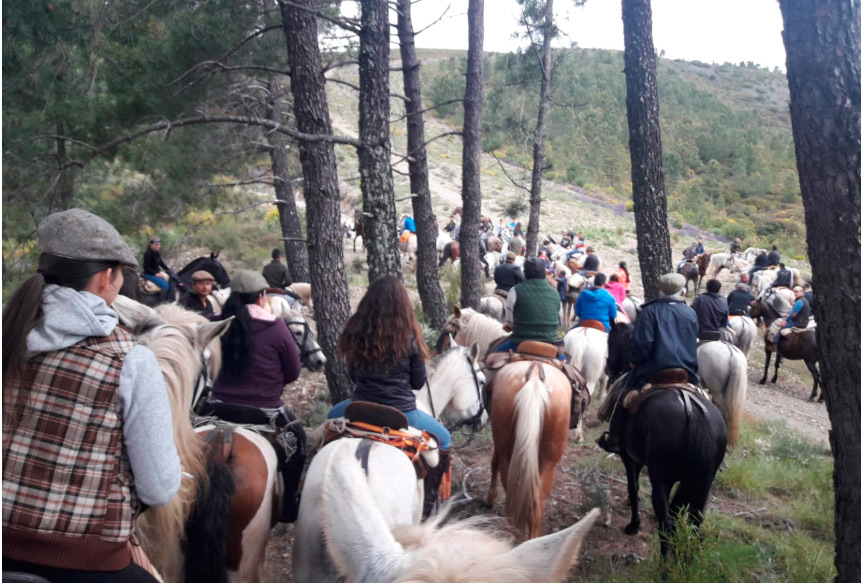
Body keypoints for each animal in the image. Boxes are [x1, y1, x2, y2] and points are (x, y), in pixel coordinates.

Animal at [485, 361, 575, 539]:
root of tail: (534, 376)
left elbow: (494, 462)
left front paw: (490, 498)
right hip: (547, 462)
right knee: (534, 507)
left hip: (509, 454)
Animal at [605, 323, 727, 556]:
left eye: (610, 341)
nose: (608, 369)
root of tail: (691, 412)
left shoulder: (628, 455)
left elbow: (633, 487)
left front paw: (633, 525)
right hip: (703, 481)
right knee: (694, 521)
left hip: (662, 480)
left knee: (667, 525)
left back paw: (664, 563)